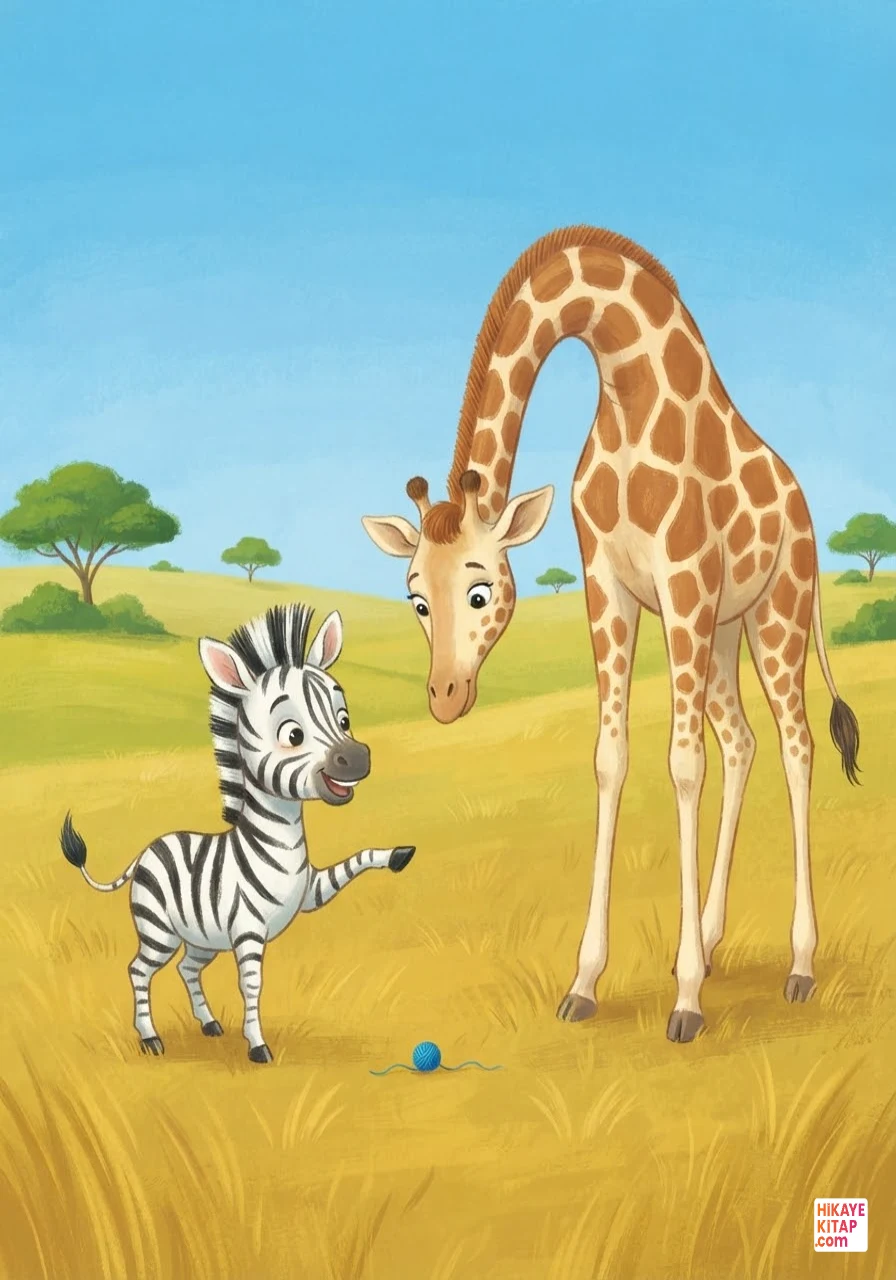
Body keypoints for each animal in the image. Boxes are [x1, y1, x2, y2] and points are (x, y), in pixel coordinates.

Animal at [60, 603, 416, 1064]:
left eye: (344, 718)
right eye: (292, 734)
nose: (356, 759)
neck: (276, 843)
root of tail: (149, 848)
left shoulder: (311, 891)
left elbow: (354, 862)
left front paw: (398, 854)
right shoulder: (248, 931)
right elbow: (252, 987)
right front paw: (258, 1045)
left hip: (201, 938)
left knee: (186, 968)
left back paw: (209, 1023)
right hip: (158, 930)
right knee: (138, 969)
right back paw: (149, 1038)